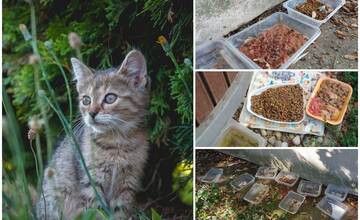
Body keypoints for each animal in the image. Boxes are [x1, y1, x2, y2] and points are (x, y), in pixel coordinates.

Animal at [35, 49, 150, 220]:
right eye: (86, 100)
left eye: (110, 98)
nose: (91, 113)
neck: (117, 142)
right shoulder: (91, 182)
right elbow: (96, 212)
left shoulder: (127, 184)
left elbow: (120, 212)